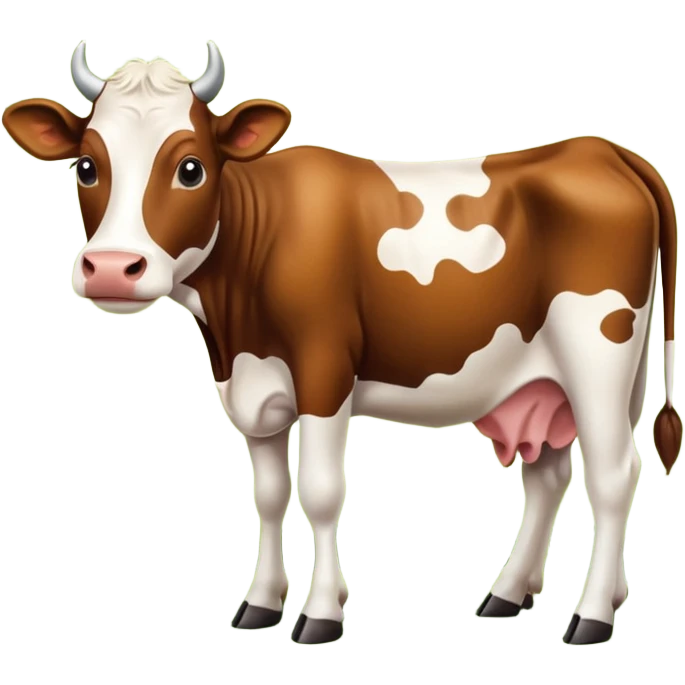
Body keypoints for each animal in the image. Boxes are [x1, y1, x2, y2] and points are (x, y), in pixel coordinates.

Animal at [2, 39, 682, 647]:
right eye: (87, 166)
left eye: (190, 168)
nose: (112, 269)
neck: (233, 320)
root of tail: (603, 150)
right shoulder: (253, 385)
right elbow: (269, 495)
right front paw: (260, 604)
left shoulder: (323, 371)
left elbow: (322, 492)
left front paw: (321, 614)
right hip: (554, 379)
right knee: (550, 474)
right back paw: (523, 595)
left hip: (597, 357)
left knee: (614, 473)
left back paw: (591, 616)